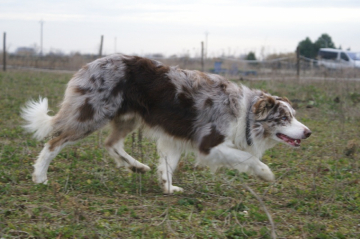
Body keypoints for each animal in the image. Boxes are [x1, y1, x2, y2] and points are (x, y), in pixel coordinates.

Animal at [21, 53, 310, 193]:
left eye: (293, 115)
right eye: (283, 118)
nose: (308, 132)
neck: (245, 112)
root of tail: (88, 64)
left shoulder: (175, 139)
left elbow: (168, 165)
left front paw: (168, 187)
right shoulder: (209, 145)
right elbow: (248, 158)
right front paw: (265, 173)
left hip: (129, 118)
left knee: (111, 143)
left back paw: (136, 166)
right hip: (92, 115)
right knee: (54, 142)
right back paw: (40, 176)